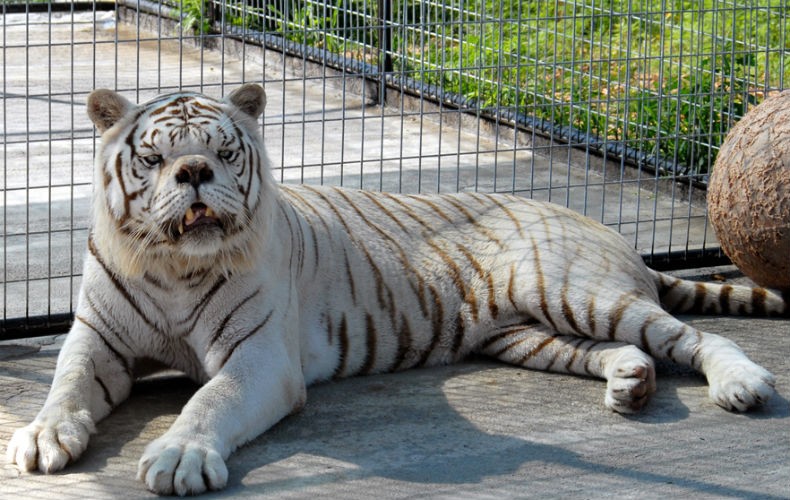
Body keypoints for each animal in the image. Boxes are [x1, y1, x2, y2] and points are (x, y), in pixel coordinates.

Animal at [6, 83, 788, 496]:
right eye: (154, 158)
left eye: (224, 152)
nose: (195, 173)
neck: (174, 266)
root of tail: (606, 228)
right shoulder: (97, 339)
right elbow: (66, 386)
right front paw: (42, 436)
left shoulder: (259, 358)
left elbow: (209, 400)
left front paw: (179, 456)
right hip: (527, 333)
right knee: (622, 351)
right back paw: (630, 383)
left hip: (577, 290)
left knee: (695, 337)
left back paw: (742, 385)